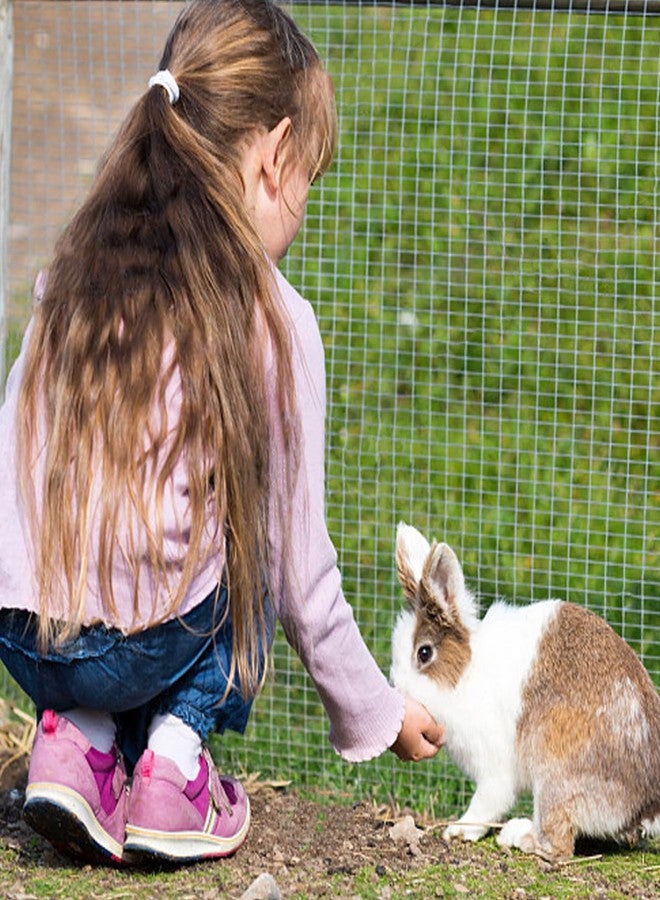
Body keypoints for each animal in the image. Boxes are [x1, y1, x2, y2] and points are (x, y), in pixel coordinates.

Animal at [390, 522, 660, 861]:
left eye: (424, 653)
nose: (399, 691)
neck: (467, 674)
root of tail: (646, 805)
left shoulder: (493, 768)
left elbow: (488, 801)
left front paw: (459, 830)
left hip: (554, 777)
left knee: (558, 845)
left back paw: (517, 835)